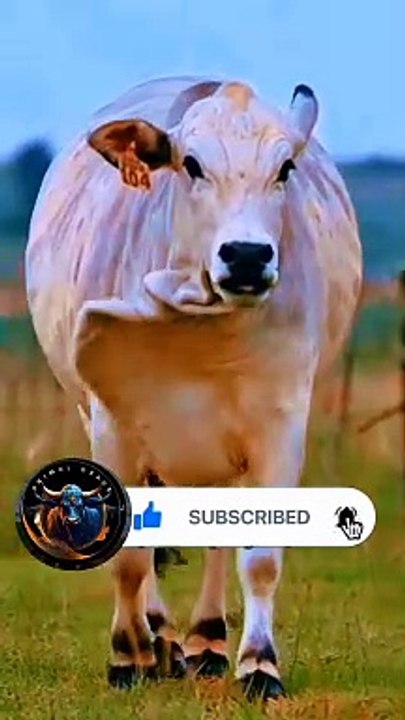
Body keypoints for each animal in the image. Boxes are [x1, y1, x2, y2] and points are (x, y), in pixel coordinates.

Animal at [25, 76, 362, 701]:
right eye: (192, 164)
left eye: (285, 168)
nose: (248, 256)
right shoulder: (112, 423)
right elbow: (129, 555)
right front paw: (127, 656)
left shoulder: (279, 427)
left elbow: (259, 557)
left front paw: (259, 666)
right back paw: (159, 640)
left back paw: (205, 642)